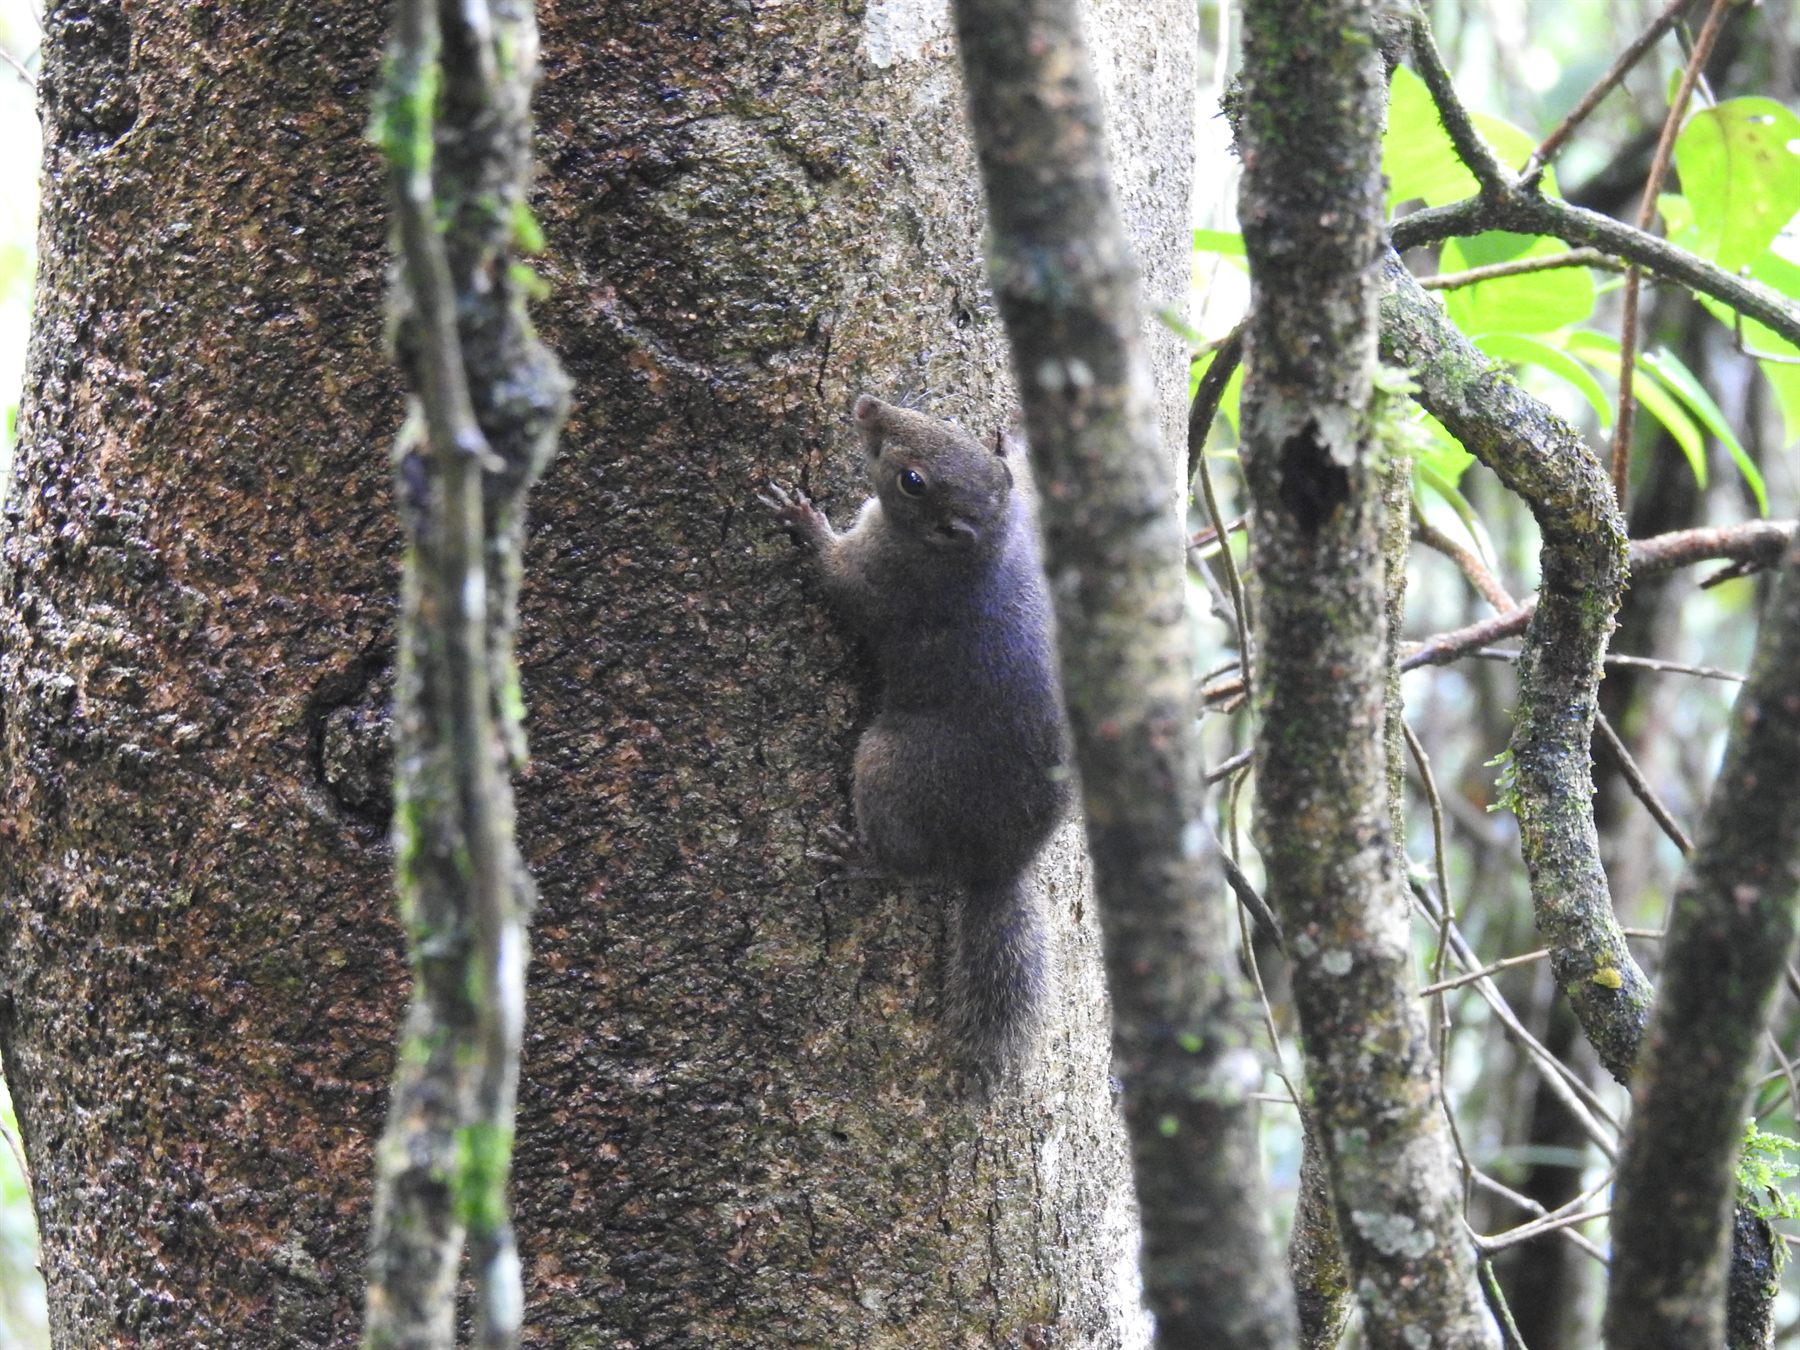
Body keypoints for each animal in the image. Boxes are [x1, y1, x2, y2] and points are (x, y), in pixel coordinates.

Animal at [762, 393, 1075, 1079]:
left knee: (909, 867)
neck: (983, 547)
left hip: (891, 765)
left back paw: (858, 858)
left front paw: (805, 521)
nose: (867, 406)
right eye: (949, 429)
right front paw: (1017, 439)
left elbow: (839, 580)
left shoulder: (887, 578)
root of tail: (1001, 863)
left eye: (913, 481)